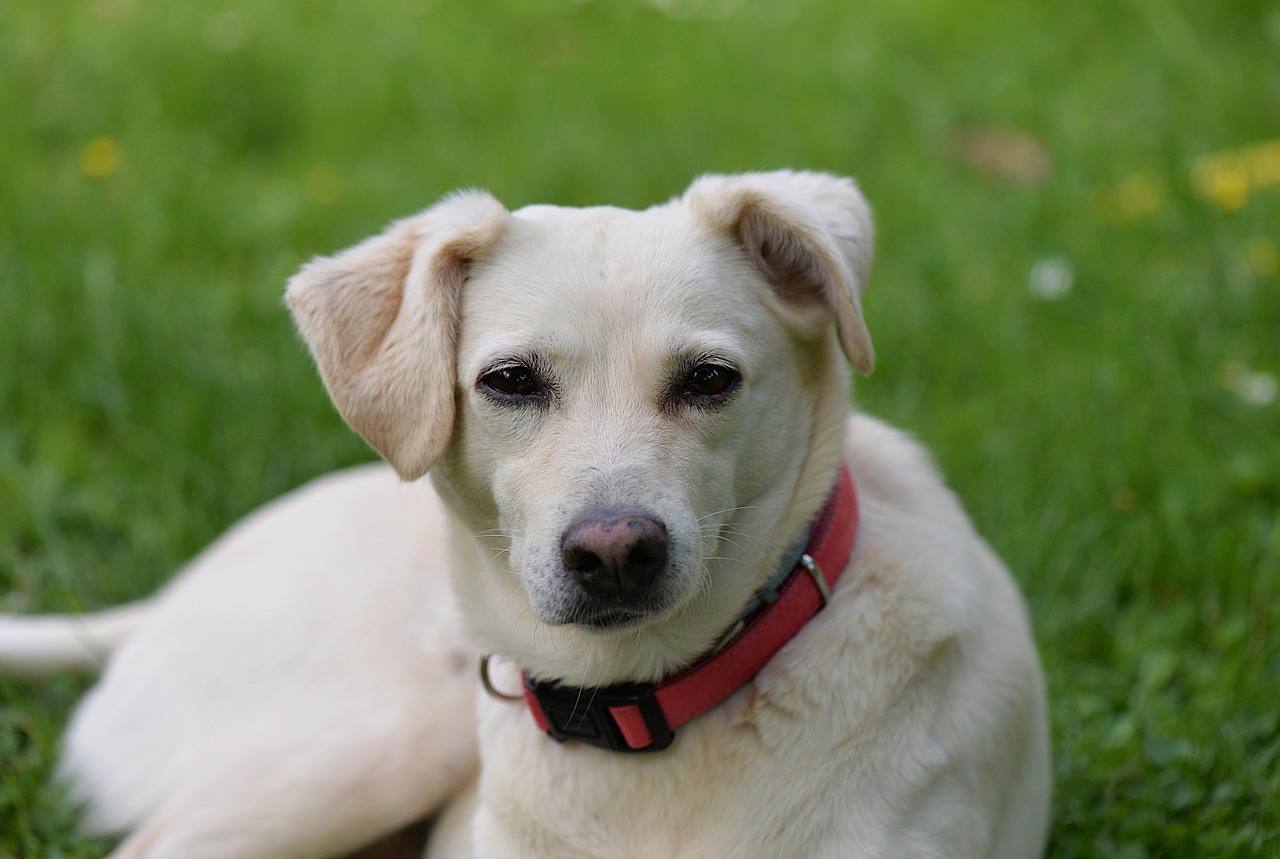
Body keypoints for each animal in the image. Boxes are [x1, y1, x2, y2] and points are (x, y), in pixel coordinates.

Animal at [0, 171, 1054, 855]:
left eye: (710, 380)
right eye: (510, 381)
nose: (616, 551)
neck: (647, 719)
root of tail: (170, 595)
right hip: (381, 737)